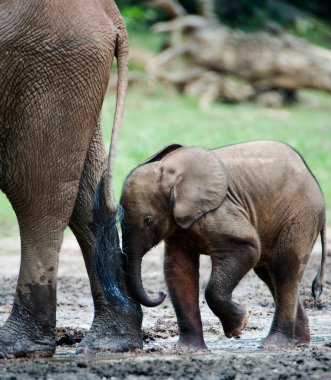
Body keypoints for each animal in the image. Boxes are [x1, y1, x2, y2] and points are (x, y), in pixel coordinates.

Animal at [0, 0, 141, 358]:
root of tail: (109, 11)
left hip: (48, 64)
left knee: (35, 190)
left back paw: (17, 347)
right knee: (88, 195)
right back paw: (111, 342)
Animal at [119, 141, 326, 348]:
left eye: (148, 221)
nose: (159, 294)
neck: (173, 175)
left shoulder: (220, 210)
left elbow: (248, 247)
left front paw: (238, 328)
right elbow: (177, 269)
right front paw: (186, 348)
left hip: (301, 216)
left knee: (285, 269)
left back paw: (273, 344)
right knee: (270, 273)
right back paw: (298, 343)